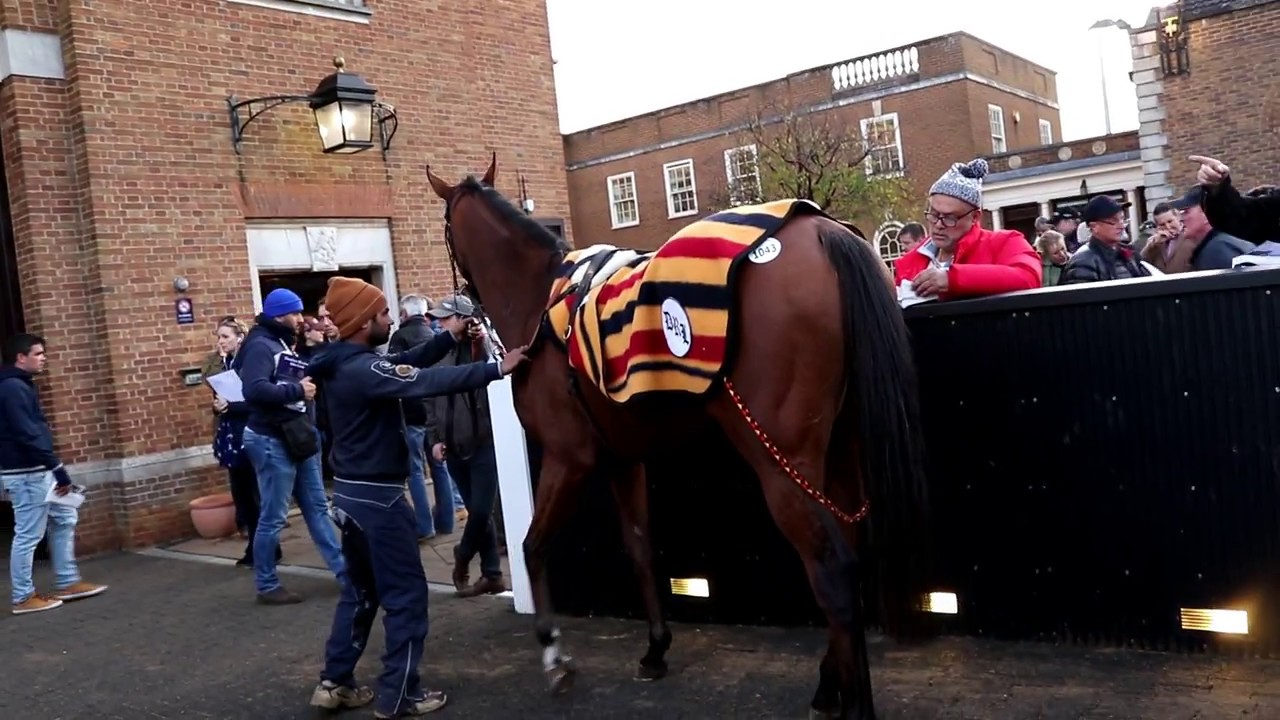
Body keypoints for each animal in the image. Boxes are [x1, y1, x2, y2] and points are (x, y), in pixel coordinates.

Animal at [426, 155, 933, 719]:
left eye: (446, 229)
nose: (462, 306)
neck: (540, 301)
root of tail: (821, 231)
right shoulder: (623, 459)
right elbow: (640, 548)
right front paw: (655, 648)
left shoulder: (569, 458)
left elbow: (534, 546)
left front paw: (554, 655)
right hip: (842, 449)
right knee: (849, 553)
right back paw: (830, 686)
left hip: (779, 460)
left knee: (833, 574)